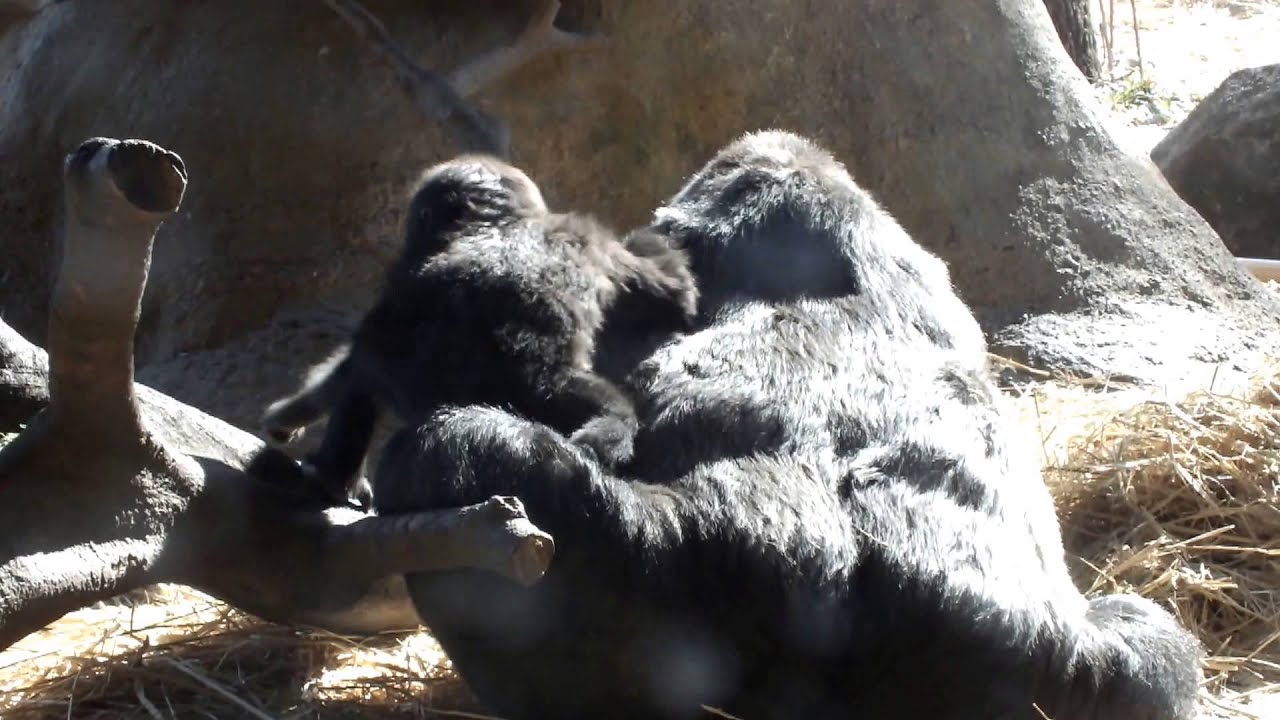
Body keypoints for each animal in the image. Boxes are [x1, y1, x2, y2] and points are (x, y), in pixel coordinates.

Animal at [259, 155, 698, 509]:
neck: (499, 223)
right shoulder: (588, 238)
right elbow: (676, 294)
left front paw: (290, 416)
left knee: (362, 383)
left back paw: (333, 477)